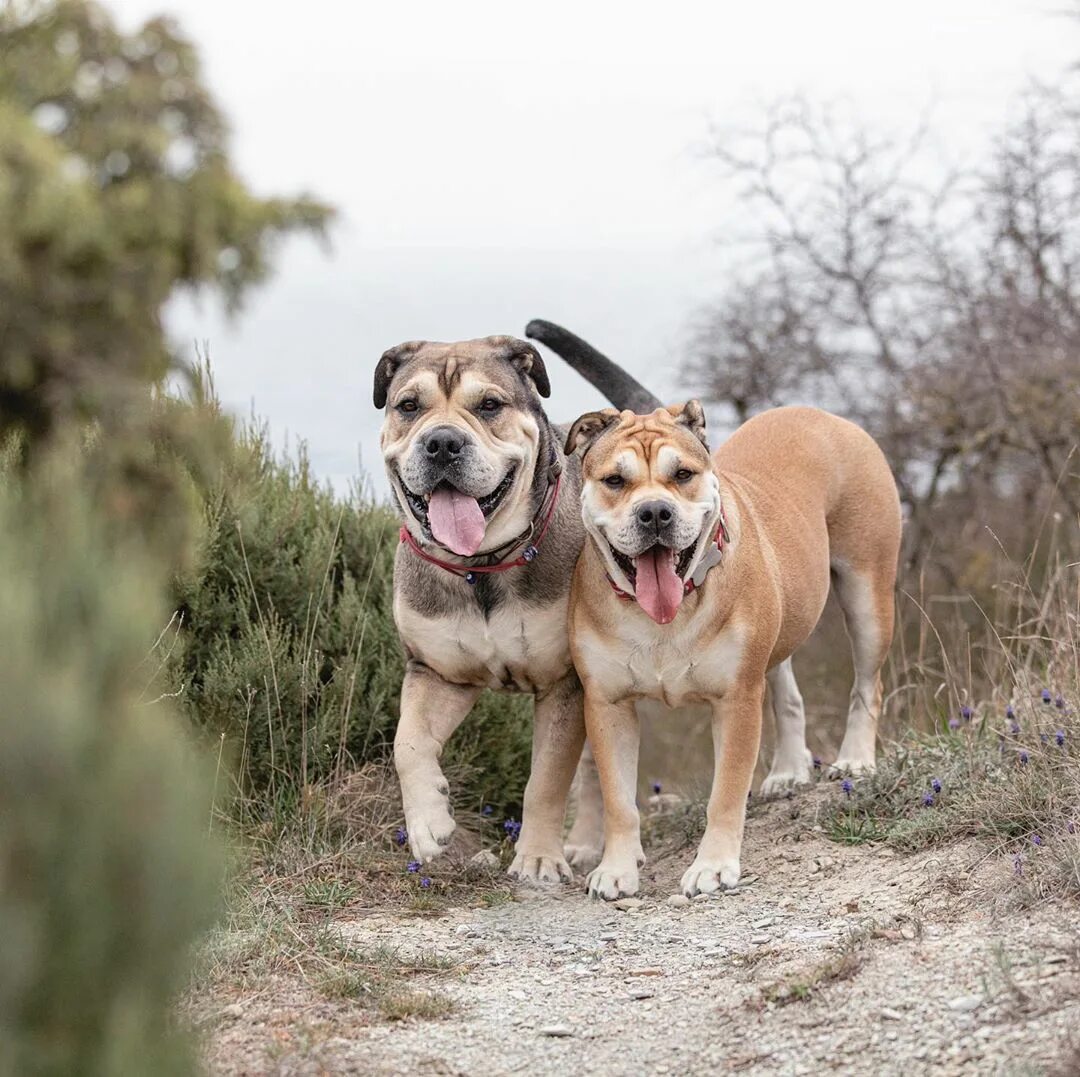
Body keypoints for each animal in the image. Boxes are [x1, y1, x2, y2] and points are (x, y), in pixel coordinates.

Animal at [565, 399, 902, 894]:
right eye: (614, 481)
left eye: (682, 474)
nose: (654, 513)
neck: (666, 615)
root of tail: (821, 414)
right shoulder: (609, 705)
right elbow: (619, 800)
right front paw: (616, 870)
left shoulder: (737, 700)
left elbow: (725, 792)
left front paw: (712, 865)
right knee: (787, 691)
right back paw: (787, 771)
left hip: (867, 594)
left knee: (867, 685)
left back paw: (855, 760)